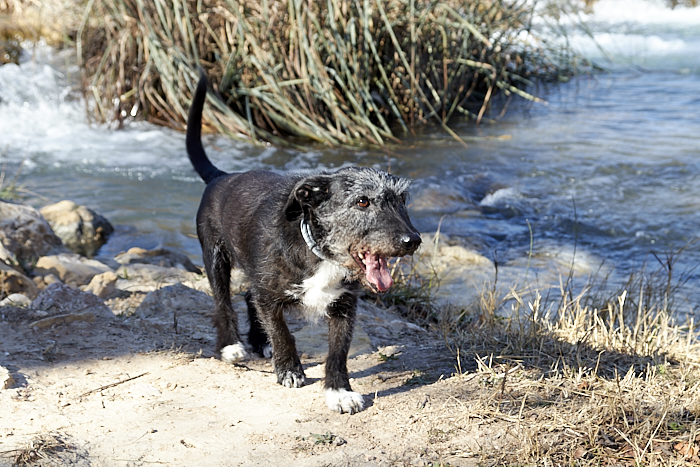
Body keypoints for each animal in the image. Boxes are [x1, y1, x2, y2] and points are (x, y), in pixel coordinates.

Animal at [186, 75, 422, 414]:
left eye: (402, 200)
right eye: (362, 201)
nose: (412, 240)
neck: (321, 254)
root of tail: (221, 176)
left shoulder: (344, 306)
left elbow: (338, 351)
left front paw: (339, 391)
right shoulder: (270, 297)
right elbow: (283, 331)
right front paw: (289, 370)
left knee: (248, 295)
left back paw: (260, 341)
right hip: (215, 257)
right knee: (223, 302)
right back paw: (231, 345)